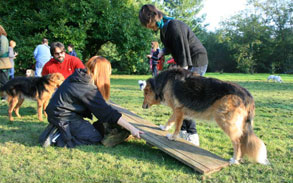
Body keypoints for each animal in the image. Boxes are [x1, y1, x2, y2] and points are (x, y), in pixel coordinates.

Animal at [142, 68, 270, 165]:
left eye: (145, 93)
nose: (142, 106)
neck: (164, 81)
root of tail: (247, 96)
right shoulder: (178, 110)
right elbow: (170, 120)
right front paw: (164, 128)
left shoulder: (178, 110)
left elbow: (176, 126)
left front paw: (173, 137)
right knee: (242, 140)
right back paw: (239, 158)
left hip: (224, 120)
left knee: (237, 142)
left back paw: (234, 160)